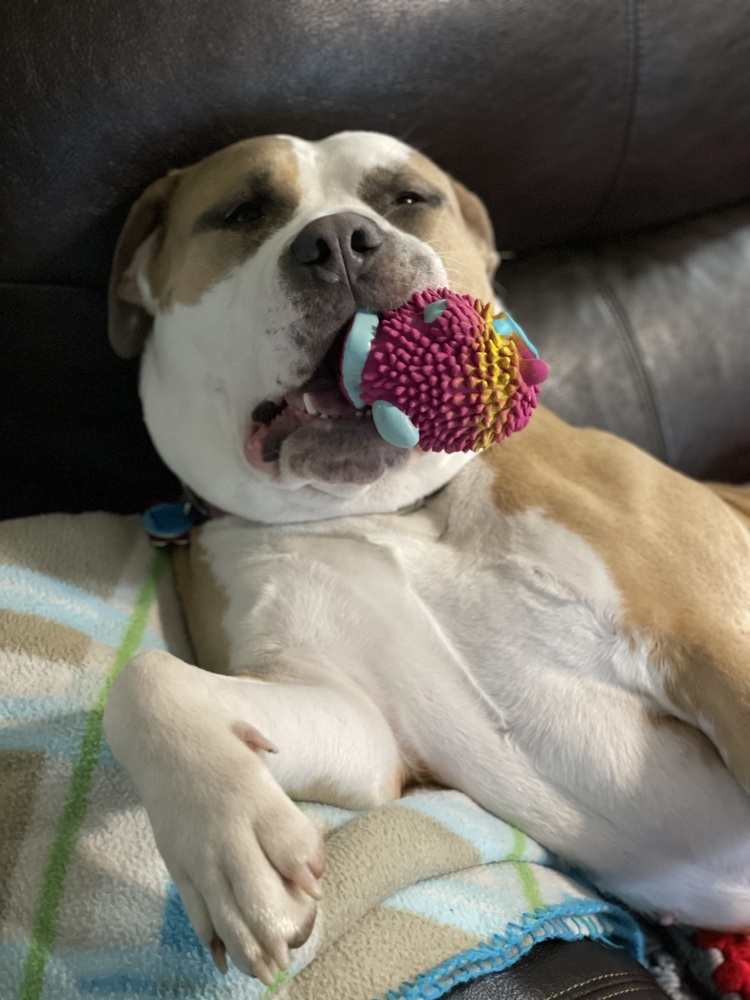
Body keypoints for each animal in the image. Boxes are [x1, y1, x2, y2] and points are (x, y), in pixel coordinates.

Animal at [103, 131, 750, 984]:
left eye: (408, 198)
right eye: (243, 212)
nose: (340, 241)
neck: (391, 510)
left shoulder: (711, 647)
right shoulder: (355, 721)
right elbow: (145, 681)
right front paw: (228, 837)